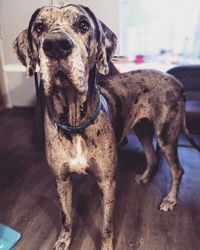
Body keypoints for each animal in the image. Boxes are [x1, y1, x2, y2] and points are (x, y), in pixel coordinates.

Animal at [13, 4, 199, 250]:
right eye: (39, 27)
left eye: (83, 24)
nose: (55, 45)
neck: (75, 121)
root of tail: (177, 83)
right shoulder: (62, 180)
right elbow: (66, 217)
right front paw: (63, 241)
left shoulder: (107, 183)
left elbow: (107, 225)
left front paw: (107, 245)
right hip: (143, 130)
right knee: (152, 157)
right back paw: (144, 178)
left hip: (166, 135)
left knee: (177, 169)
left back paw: (170, 200)